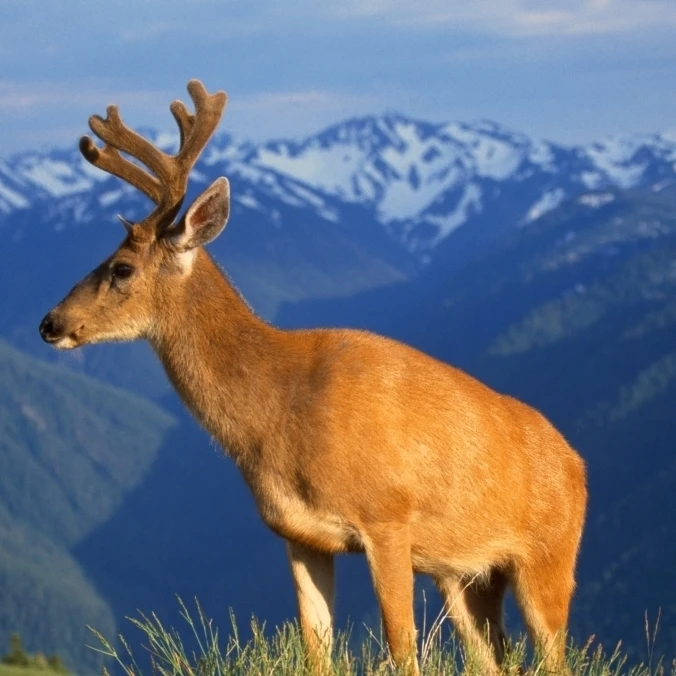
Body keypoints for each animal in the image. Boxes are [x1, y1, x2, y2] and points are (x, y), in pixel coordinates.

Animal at [39, 79, 587, 675]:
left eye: (121, 268)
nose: (50, 323)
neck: (280, 409)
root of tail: (578, 465)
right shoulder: (300, 534)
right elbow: (315, 648)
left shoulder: (387, 518)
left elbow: (402, 649)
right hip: (466, 576)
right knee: (494, 657)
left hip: (549, 558)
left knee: (554, 655)